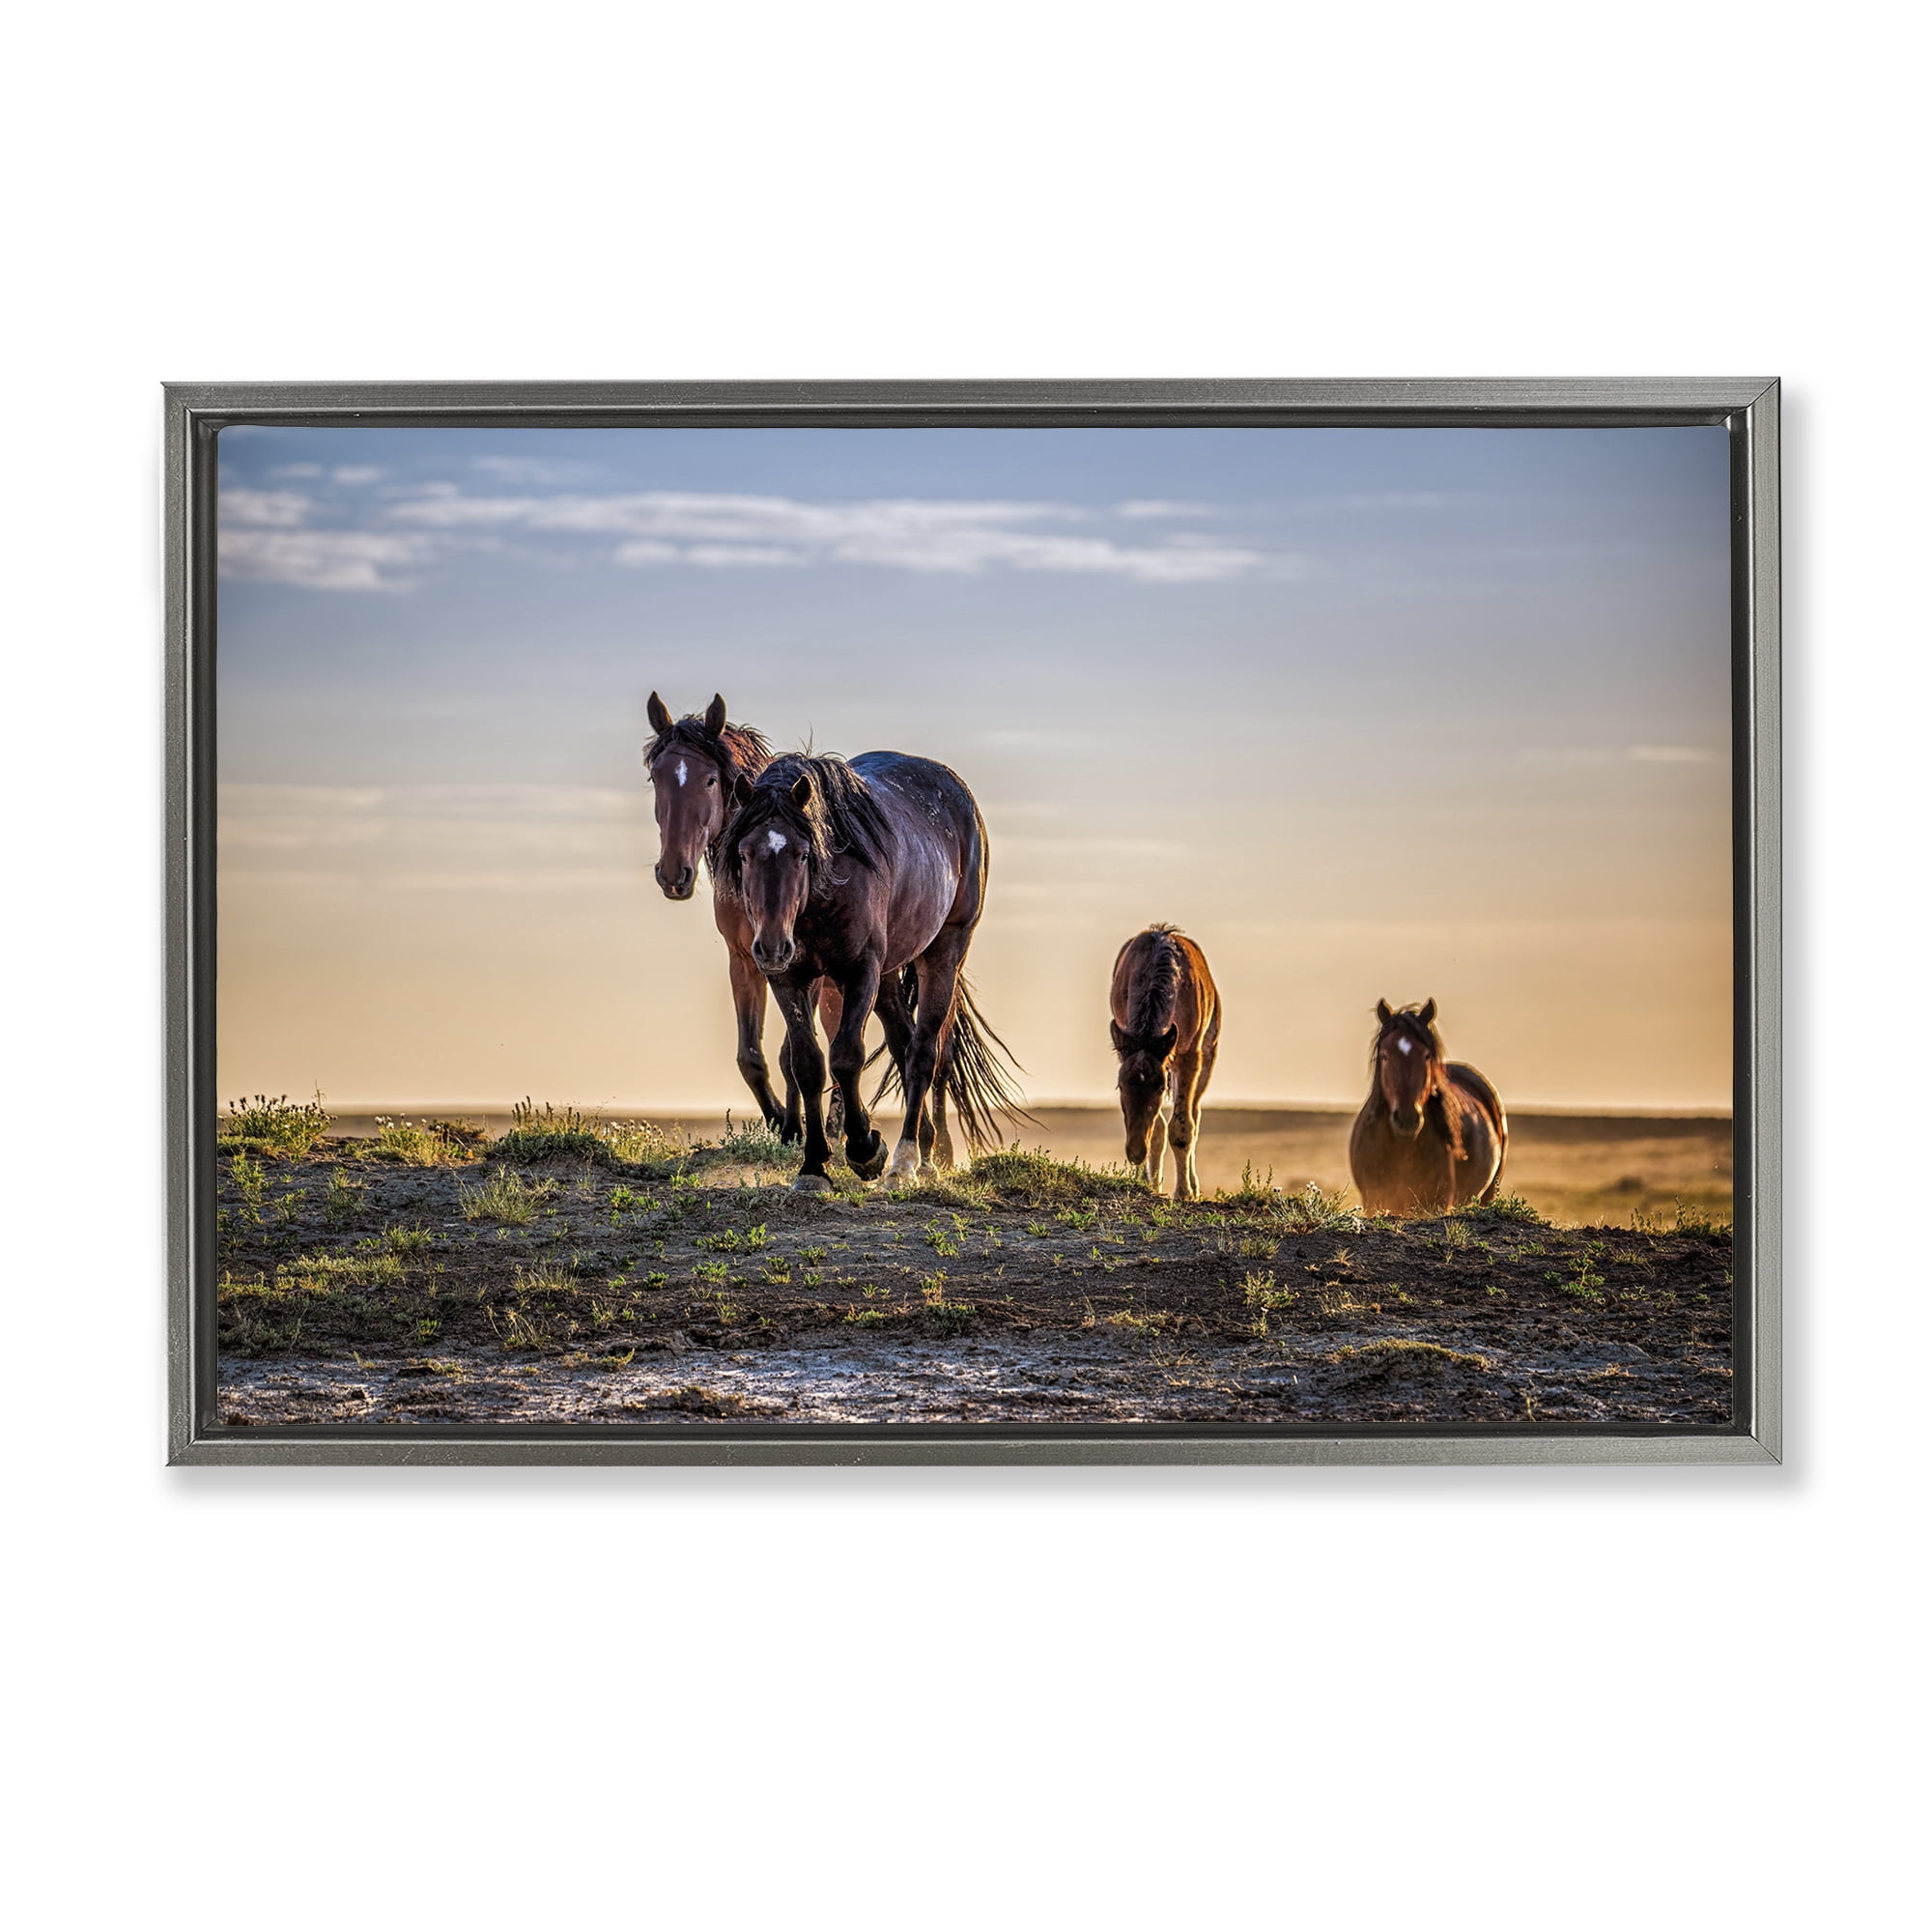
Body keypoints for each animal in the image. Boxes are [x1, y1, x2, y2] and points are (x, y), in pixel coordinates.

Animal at [719, 749, 1026, 1192]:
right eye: (744, 854)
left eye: (802, 854)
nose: (772, 946)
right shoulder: (788, 978)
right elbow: (808, 1063)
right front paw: (813, 1166)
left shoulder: (860, 969)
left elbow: (847, 1056)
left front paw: (865, 1150)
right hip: (887, 977)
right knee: (903, 1043)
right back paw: (925, 1152)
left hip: (943, 953)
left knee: (923, 1052)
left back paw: (905, 1161)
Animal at [1109, 924, 1220, 1200]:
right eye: (1120, 1086)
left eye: (1159, 1088)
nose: (1135, 1151)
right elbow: (1158, 1128)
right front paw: (1146, 1182)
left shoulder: (1189, 1055)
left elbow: (1182, 1128)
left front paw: (1183, 1192)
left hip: (1207, 1056)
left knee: (1194, 1115)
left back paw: (1193, 1186)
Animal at [1348, 999, 1507, 1215]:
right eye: (1385, 1055)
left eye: (1425, 1056)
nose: (1407, 1119)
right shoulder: (1373, 1200)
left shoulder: (1437, 1203)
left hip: (1489, 1192)